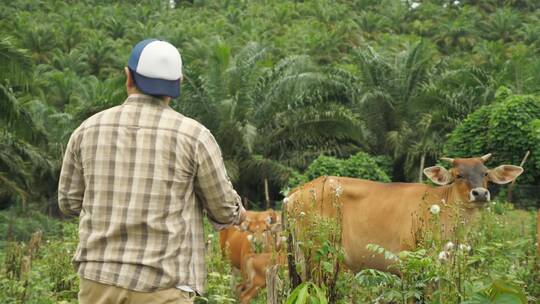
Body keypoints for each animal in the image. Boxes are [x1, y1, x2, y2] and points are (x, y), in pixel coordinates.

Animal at [286, 154, 524, 276]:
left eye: (485, 173)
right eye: (458, 175)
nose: (480, 193)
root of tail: (295, 192)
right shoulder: (408, 260)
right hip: (317, 255)